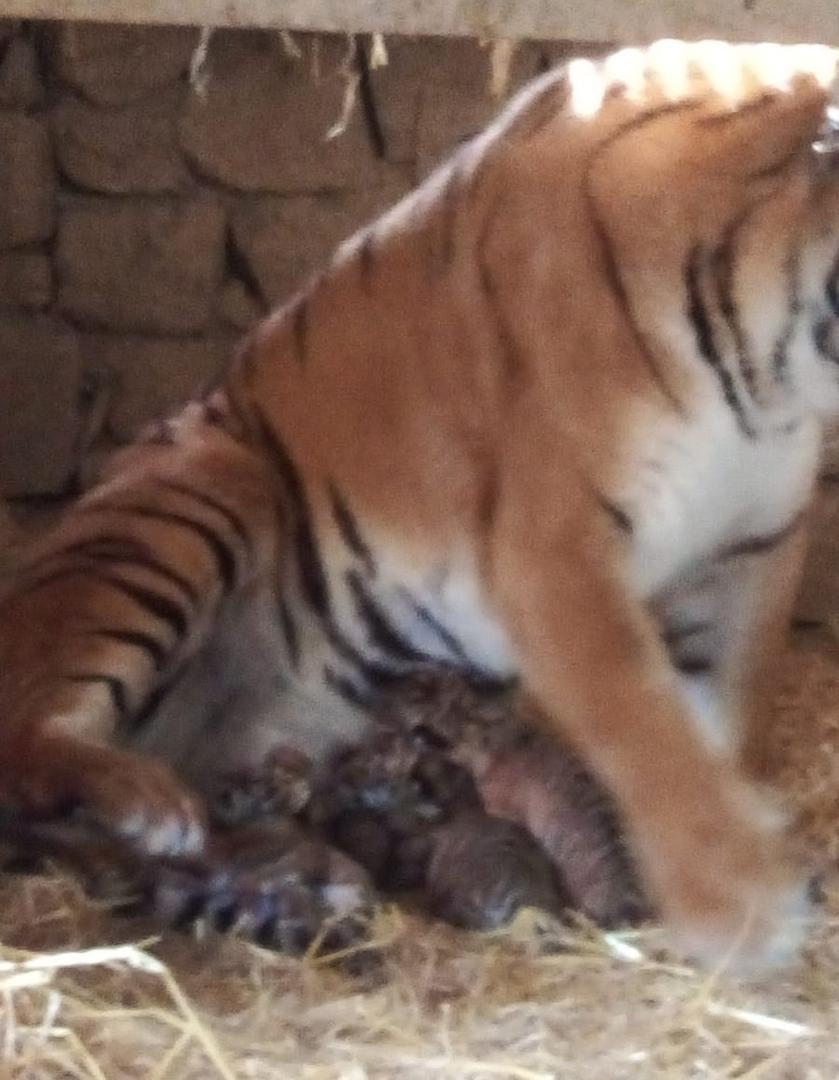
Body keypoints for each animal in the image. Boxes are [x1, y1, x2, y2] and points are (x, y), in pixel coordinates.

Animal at [1, 38, 838, 972]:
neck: (770, 365)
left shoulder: (753, 554)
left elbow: (724, 725)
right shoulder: (556, 550)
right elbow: (644, 719)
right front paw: (738, 905)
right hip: (194, 496)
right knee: (20, 733)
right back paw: (146, 803)